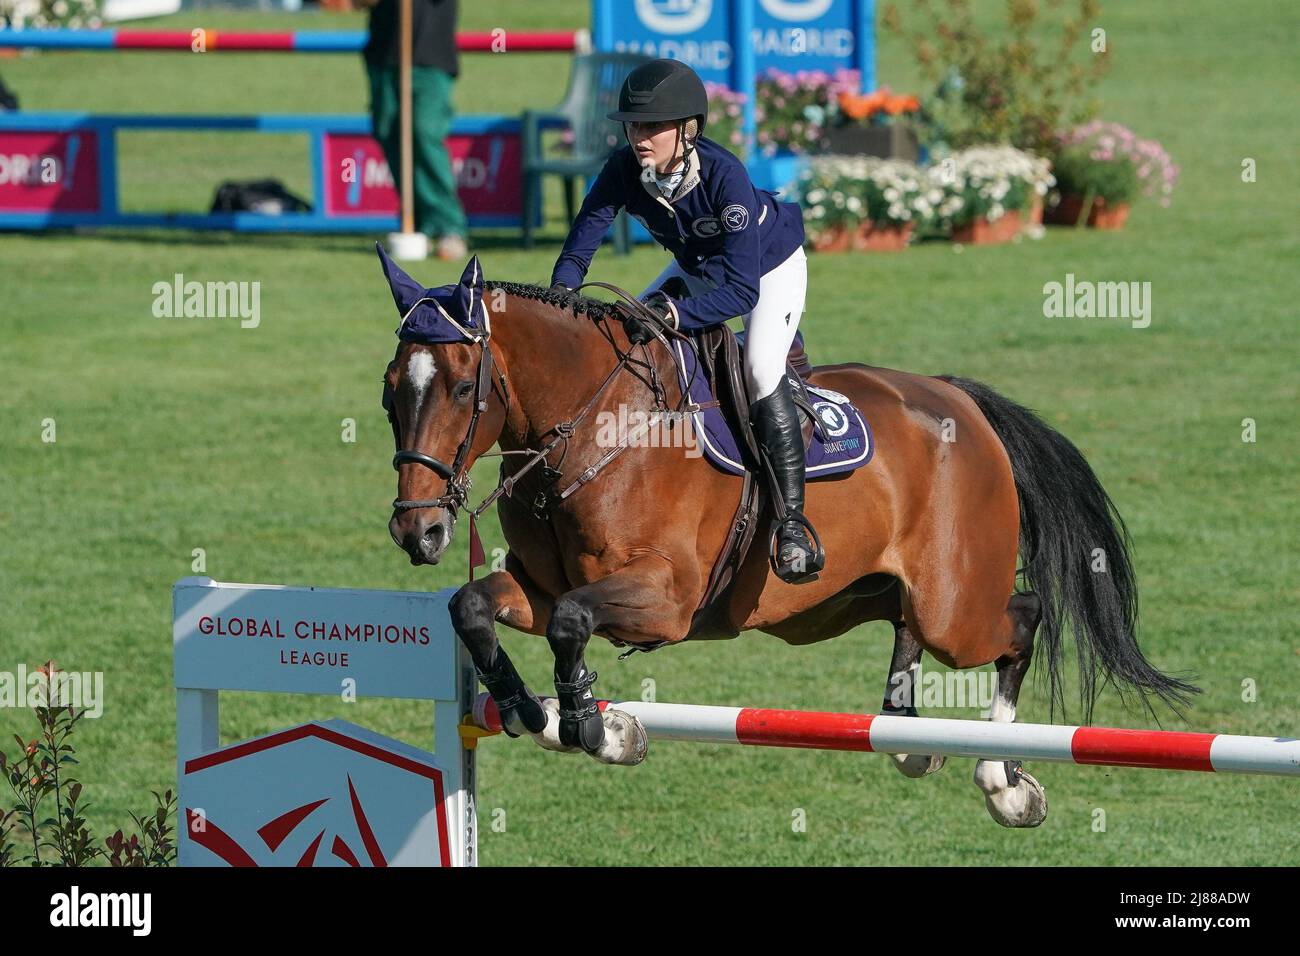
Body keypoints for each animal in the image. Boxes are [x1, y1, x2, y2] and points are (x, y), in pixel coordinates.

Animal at [379, 257, 1190, 827]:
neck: (591, 432)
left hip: (955, 608)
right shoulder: (541, 587)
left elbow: (575, 624)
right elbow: (472, 607)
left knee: (1020, 620)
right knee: (906, 635)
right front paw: (533, 710)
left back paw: (1002, 783)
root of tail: (959, 398)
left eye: (461, 388)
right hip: (846, 601)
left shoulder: (664, 599)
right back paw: (912, 742)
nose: (418, 530)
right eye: (390, 390)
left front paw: (598, 729)